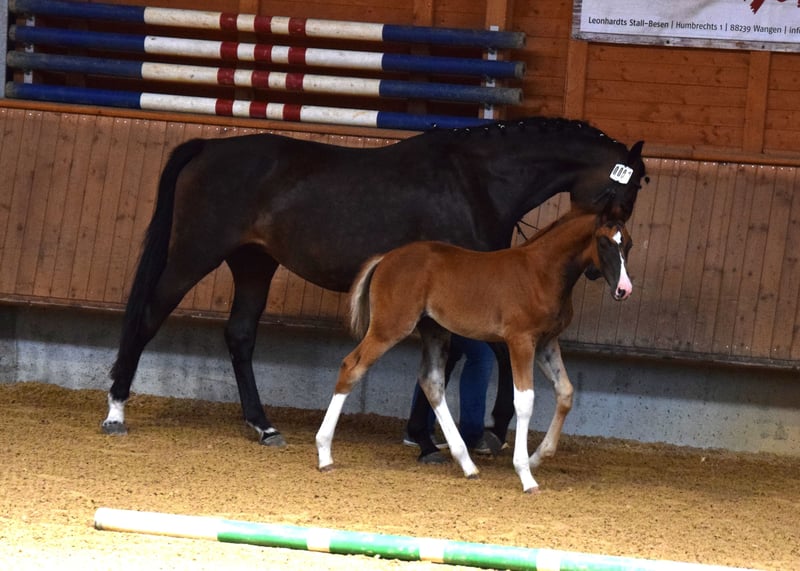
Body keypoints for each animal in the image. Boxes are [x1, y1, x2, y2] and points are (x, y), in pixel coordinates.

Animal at [101, 116, 646, 451]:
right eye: (630, 189)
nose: (612, 271)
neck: (476, 180)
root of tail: (208, 146)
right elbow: (474, 356)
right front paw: (466, 433)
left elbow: (455, 358)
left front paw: (432, 434)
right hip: (194, 255)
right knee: (148, 318)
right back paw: (117, 412)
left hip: (254, 264)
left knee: (239, 336)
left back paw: (263, 425)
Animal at [316, 205, 634, 493]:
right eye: (604, 242)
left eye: (628, 244)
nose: (624, 290)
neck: (542, 272)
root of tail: (385, 258)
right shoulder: (520, 340)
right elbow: (525, 401)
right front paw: (526, 475)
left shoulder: (546, 342)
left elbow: (565, 392)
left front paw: (537, 457)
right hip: (389, 328)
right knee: (352, 366)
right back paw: (324, 454)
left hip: (434, 330)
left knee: (432, 382)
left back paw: (467, 464)